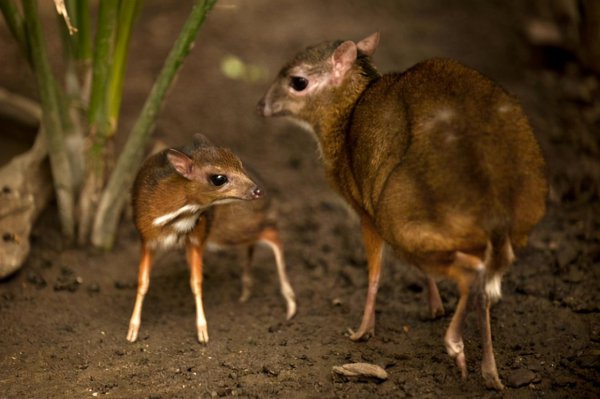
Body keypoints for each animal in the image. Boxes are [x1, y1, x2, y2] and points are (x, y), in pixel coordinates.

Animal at [128, 134, 296, 344]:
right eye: (218, 178)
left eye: (239, 164)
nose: (257, 190)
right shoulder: (147, 240)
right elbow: (143, 282)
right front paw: (132, 330)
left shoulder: (197, 238)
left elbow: (196, 282)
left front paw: (202, 331)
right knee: (262, 238)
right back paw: (247, 290)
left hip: (229, 230)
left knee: (273, 235)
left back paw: (289, 303)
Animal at [255, 32, 548, 390]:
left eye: (298, 81)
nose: (261, 106)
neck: (347, 114)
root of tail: (492, 198)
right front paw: (434, 306)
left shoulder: (365, 213)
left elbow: (375, 273)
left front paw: (362, 331)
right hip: (507, 224)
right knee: (483, 287)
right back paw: (490, 373)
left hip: (398, 219)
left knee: (470, 274)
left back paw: (455, 345)